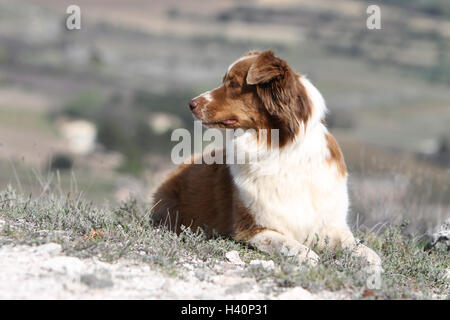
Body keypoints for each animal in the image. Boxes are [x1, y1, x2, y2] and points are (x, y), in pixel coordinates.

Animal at [153, 49, 382, 264]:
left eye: (233, 84)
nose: (191, 103)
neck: (280, 150)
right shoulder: (252, 228)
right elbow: (288, 243)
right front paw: (308, 256)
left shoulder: (331, 224)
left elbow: (356, 245)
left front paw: (371, 261)